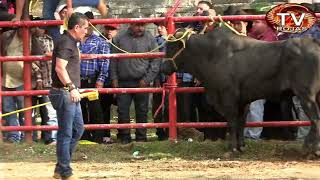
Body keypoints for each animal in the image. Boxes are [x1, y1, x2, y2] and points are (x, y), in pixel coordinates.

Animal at [161, 27, 320, 155]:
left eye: (171, 46)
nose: (163, 67)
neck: (211, 55)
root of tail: (313, 42)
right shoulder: (243, 100)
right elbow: (241, 122)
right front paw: (240, 146)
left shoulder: (228, 97)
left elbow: (232, 122)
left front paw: (232, 148)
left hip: (307, 95)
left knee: (315, 119)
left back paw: (310, 148)